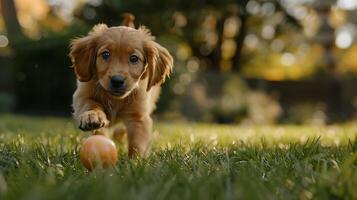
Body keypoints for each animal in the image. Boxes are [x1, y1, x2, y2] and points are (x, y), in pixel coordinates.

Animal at [69, 20, 172, 158]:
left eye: (134, 58)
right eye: (105, 54)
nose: (117, 80)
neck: (115, 99)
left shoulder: (138, 116)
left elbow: (137, 144)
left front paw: (135, 161)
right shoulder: (82, 95)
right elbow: (90, 105)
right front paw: (92, 116)